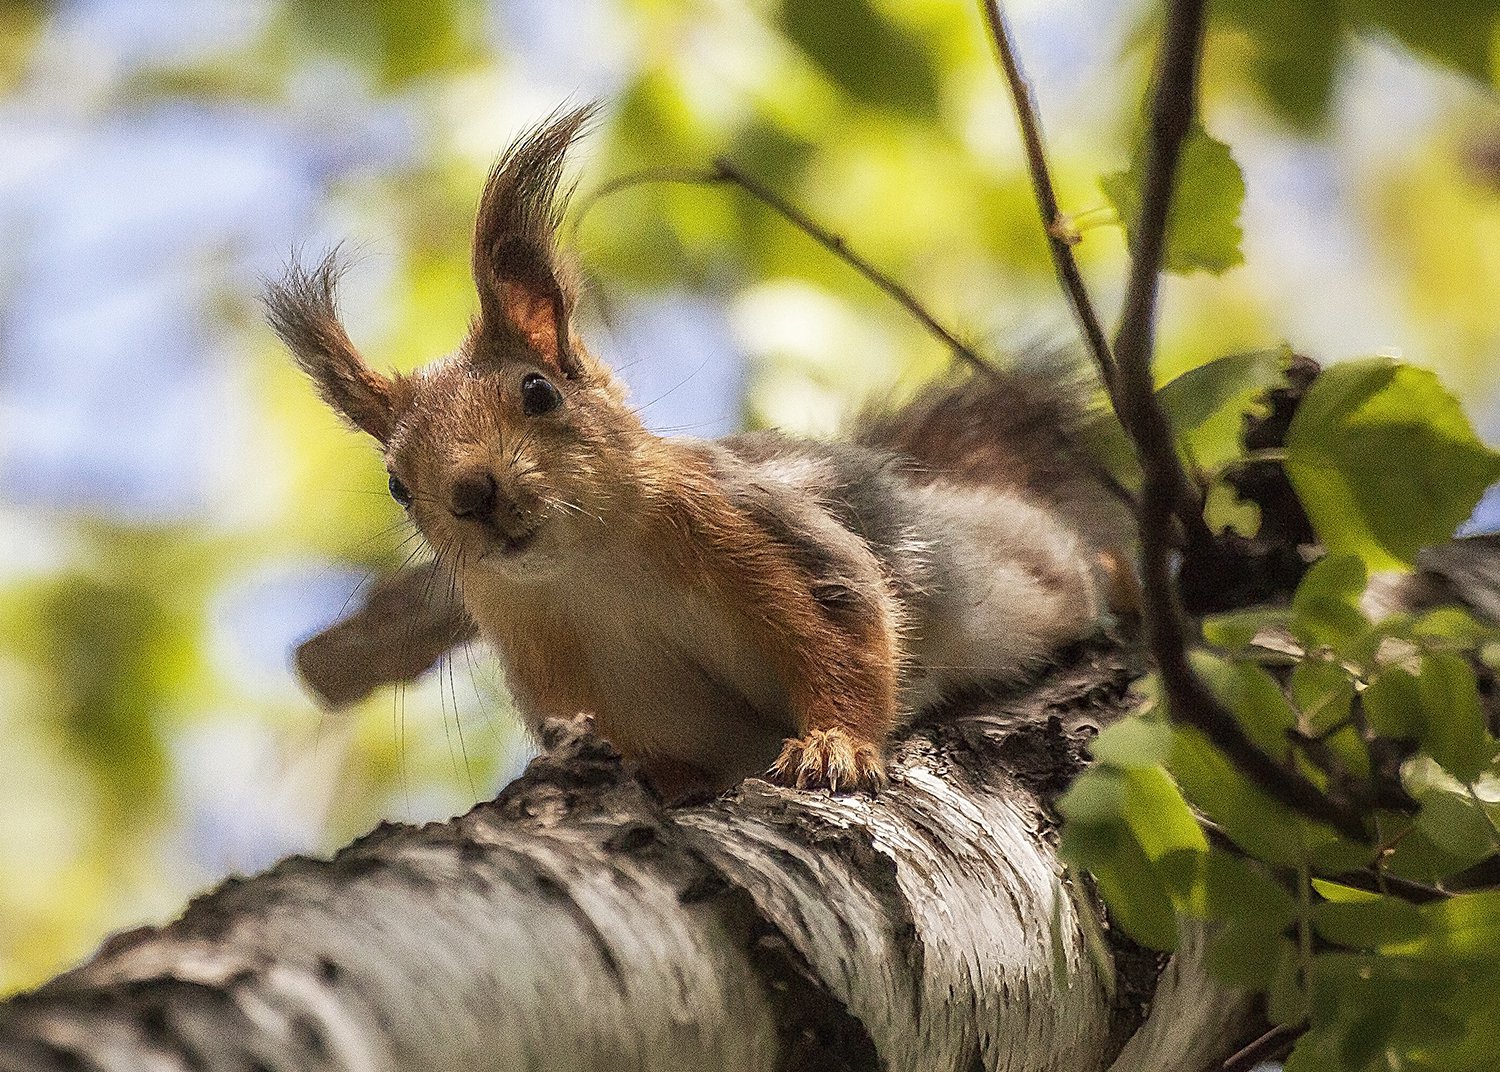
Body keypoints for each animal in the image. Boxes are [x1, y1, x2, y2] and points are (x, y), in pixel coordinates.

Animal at [273, 107, 1128, 797]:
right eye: (396, 484)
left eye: (538, 392)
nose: (471, 494)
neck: (591, 569)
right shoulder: (575, 672)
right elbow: (670, 752)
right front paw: (667, 784)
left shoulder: (763, 536)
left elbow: (844, 641)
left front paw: (834, 747)